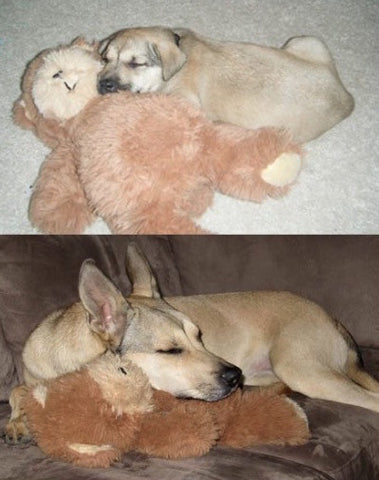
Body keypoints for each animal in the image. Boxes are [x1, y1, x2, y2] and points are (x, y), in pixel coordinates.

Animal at [3, 244, 379, 442]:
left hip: (301, 369)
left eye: (199, 336)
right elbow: (17, 391)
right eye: (171, 350)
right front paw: (19, 419)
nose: (234, 376)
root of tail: (332, 318)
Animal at [98, 26, 356, 142]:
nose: (103, 84)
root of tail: (346, 98)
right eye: (106, 59)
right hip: (307, 41)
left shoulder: (183, 101)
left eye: (136, 63)